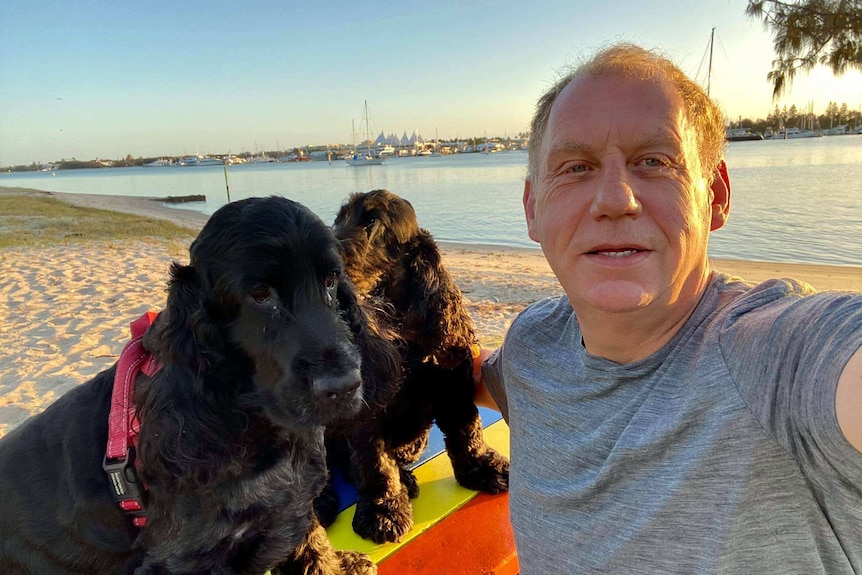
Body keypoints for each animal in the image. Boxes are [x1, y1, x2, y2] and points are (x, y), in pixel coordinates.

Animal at [0, 196, 400, 572]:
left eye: (331, 280)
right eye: (260, 295)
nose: (344, 386)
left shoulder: (291, 505)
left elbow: (310, 543)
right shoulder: (184, 558)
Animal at [330, 189, 510, 544]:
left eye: (371, 222)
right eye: (337, 219)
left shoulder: (454, 388)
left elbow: (468, 433)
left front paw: (484, 468)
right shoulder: (366, 413)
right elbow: (374, 464)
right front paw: (383, 512)